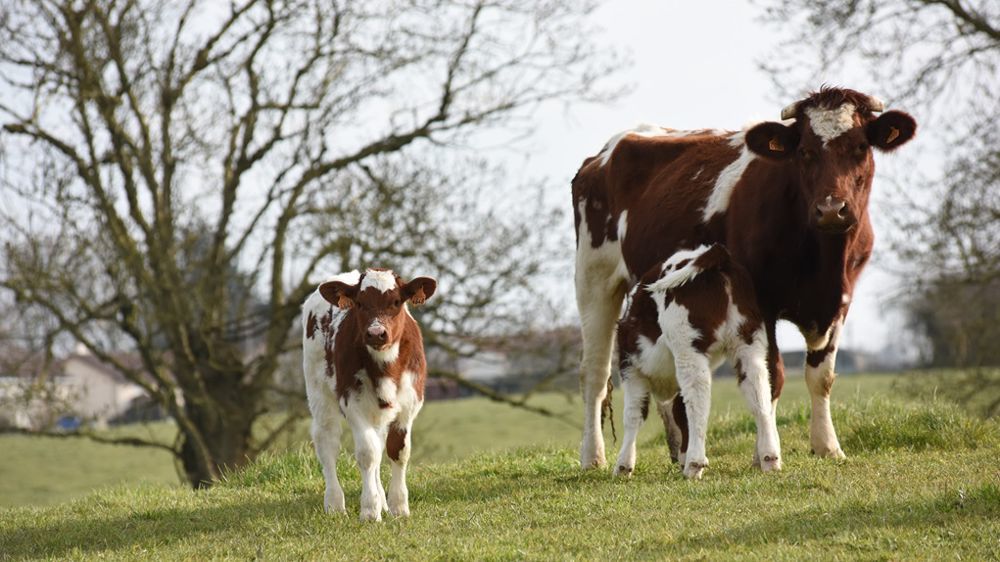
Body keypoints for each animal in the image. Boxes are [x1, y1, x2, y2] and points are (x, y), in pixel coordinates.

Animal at [302, 268, 437, 521]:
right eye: (360, 303)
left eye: (396, 302)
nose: (376, 333)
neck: (386, 366)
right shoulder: (352, 402)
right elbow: (367, 454)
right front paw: (370, 510)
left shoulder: (409, 404)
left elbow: (398, 451)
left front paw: (398, 506)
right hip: (318, 392)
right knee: (327, 441)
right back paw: (334, 503)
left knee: (378, 441)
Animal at [614, 243, 781, 479]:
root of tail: (717, 254)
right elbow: (678, 413)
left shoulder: (630, 369)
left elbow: (633, 415)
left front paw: (623, 465)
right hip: (748, 344)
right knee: (760, 392)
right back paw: (770, 458)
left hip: (687, 347)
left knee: (698, 398)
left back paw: (695, 463)